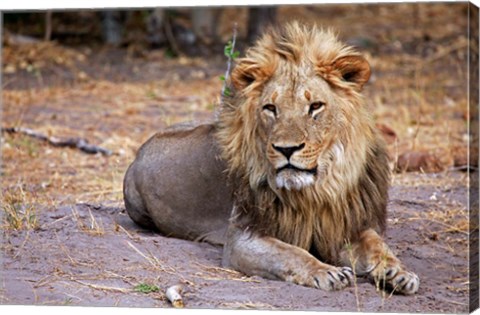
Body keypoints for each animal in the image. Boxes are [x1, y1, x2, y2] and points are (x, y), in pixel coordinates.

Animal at [124, 22, 420, 296]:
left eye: (315, 106)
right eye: (270, 108)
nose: (286, 149)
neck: (316, 191)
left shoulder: (344, 225)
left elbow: (376, 244)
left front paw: (399, 273)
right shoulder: (242, 236)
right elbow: (289, 253)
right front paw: (326, 272)